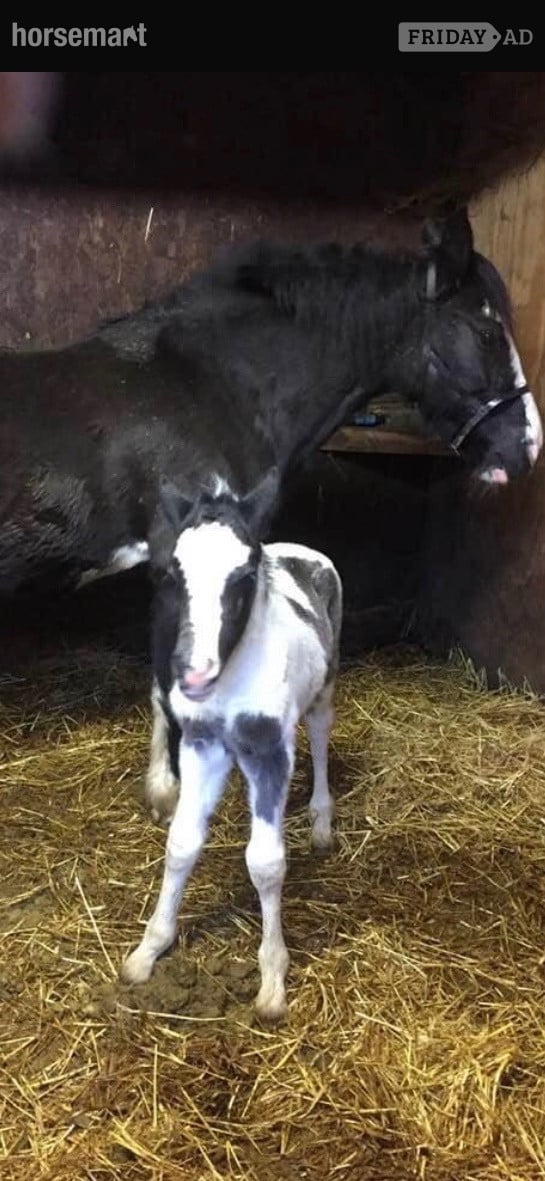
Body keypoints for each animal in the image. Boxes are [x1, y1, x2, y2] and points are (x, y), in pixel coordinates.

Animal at [122, 472, 342, 1019]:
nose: (194, 675)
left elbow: (265, 861)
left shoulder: (269, 755)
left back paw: (322, 823)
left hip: (326, 686)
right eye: (171, 572)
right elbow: (181, 843)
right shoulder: (203, 746)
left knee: (320, 735)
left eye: (243, 573)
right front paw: (147, 952)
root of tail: (301, 549)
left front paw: (272, 981)